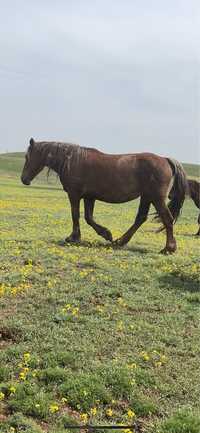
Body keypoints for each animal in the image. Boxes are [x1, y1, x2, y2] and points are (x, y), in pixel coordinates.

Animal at [20, 138, 188, 253]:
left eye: (27, 157)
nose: (24, 179)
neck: (72, 161)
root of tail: (165, 159)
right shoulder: (89, 197)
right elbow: (88, 217)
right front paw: (106, 234)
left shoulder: (75, 195)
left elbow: (76, 215)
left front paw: (73, 237)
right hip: (146, 197)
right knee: (140, 218)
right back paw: (120, 241)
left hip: (156, 198)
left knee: (167, 219)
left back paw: (168, 248)